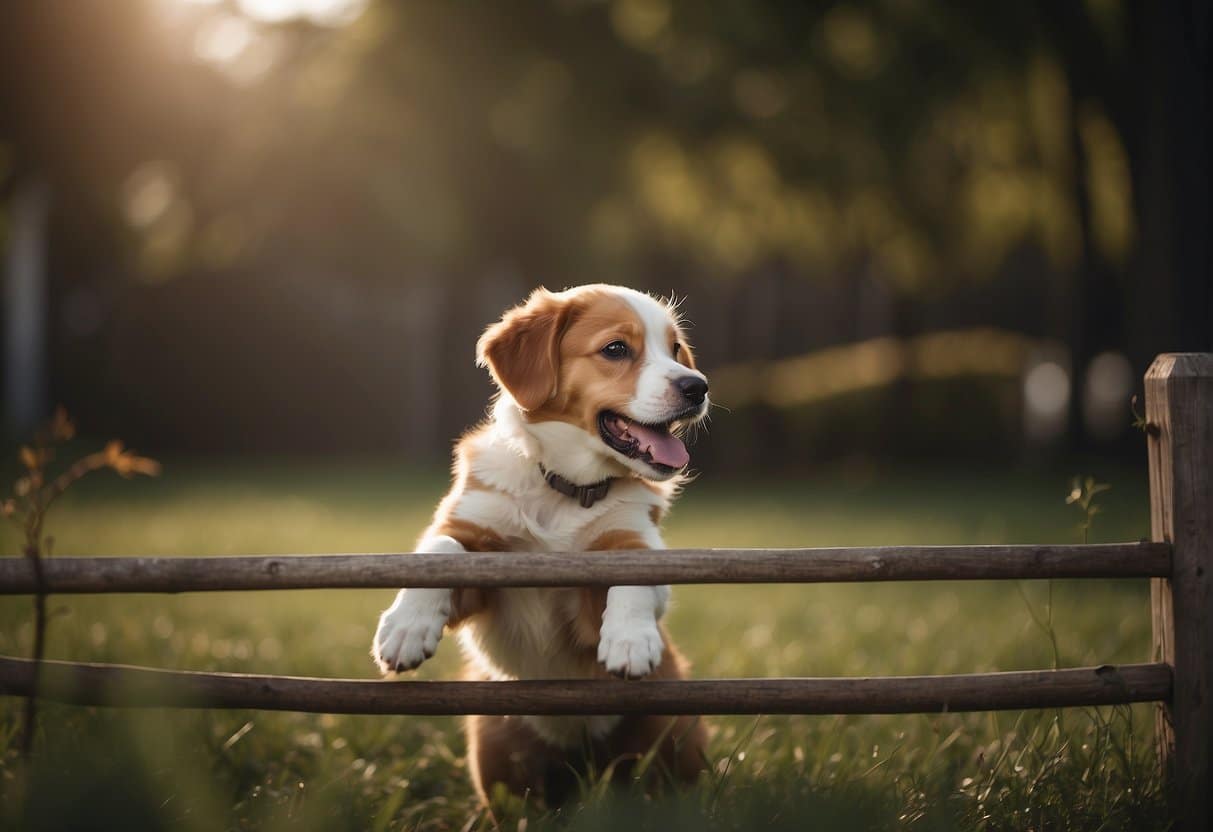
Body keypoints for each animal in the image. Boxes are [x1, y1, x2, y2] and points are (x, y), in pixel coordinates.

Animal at [368, 283, 708, 805]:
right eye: (616, 349)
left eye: (674, 350)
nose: (698, 387)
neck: (564, 490)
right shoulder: (478, 568)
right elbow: (439, 552)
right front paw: (405, 631)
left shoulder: (624, 551)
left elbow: (632, 576)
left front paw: (630, 642)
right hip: (497, 752)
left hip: (674, 738)